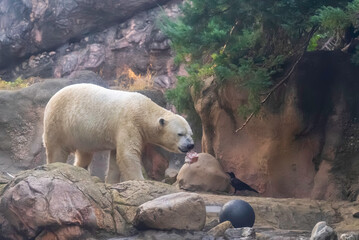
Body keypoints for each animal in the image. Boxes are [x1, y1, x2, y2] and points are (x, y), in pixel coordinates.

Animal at [42, 83, 195, 183]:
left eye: (190, 134)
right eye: (180, 134)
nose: (190, 145)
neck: (143, 109)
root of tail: (52, 98)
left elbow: (116, 158)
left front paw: (111, 182)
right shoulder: (128, 123)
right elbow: (127, 154)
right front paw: (140, 180)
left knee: (84, 155)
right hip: (59, 122)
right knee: (56, 150)